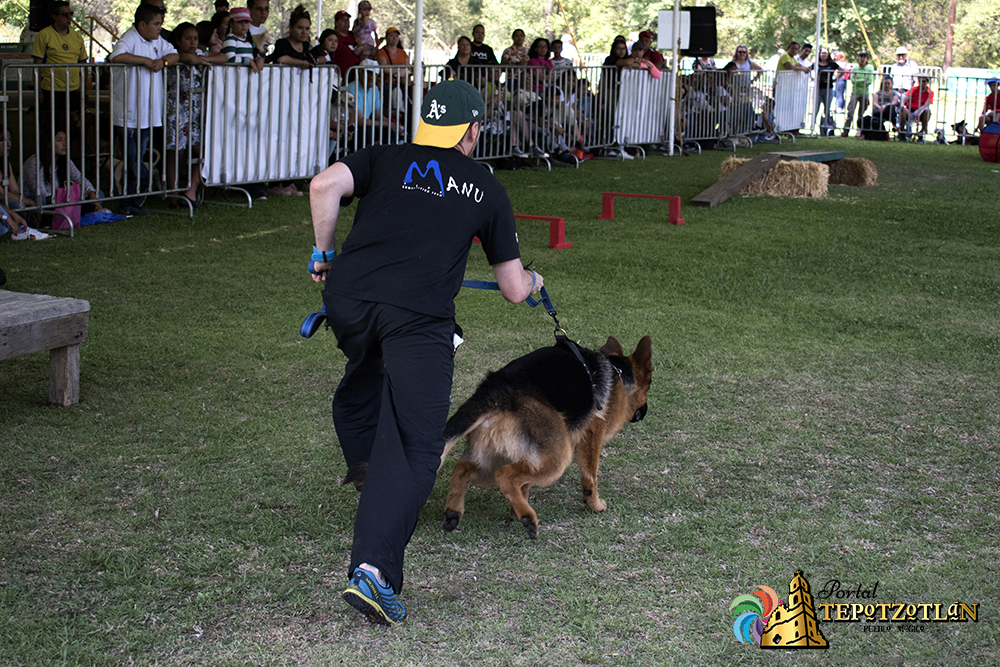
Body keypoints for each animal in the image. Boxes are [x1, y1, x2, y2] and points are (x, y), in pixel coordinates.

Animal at [442, 336, 652, 540]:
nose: (645, 411)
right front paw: (595, 504)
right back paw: (528, 517)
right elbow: (590, 477)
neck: (618, 375)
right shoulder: (592, 437)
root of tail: (494, 393)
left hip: (498, 456)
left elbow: (525, 484)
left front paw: (515, 510)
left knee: (463, 467)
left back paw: (454, 512)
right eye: (649, 386)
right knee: (505, 475)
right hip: (558, 456)